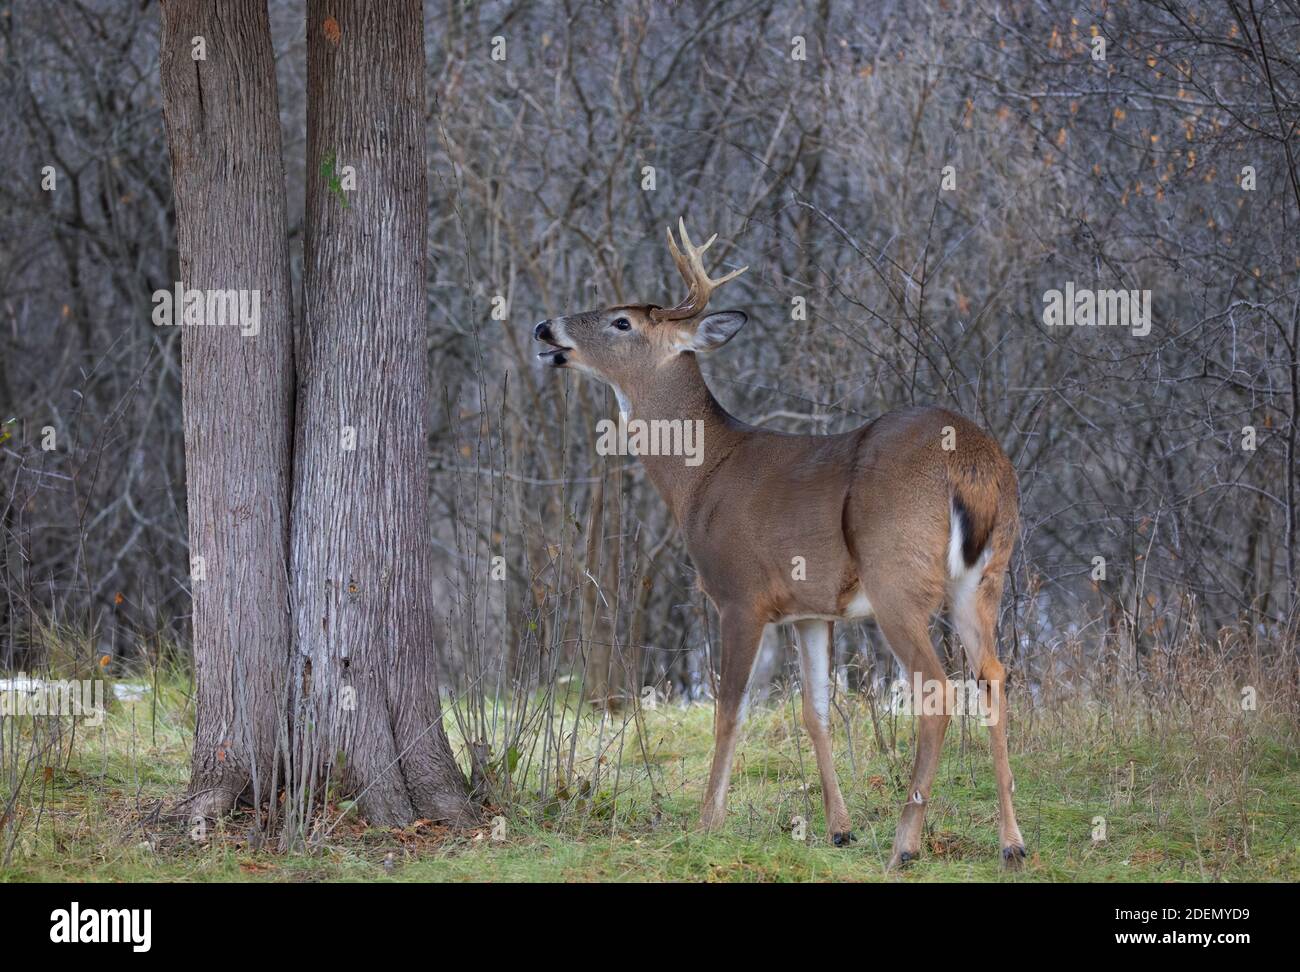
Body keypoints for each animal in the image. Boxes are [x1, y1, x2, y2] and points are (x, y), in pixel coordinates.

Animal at [535, 218, 1024, 868]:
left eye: (622, 322)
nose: (545, 328)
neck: (700, 477)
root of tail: (970, 460)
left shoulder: (739, 595)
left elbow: (729, 709)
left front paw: (707, 821)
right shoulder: (809, 609)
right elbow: (815, 711)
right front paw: (839, 828)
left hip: (896, 578)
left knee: (938, 688)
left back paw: (906, 845)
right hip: (986, 575)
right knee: (993, 672)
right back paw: (1012, 842)